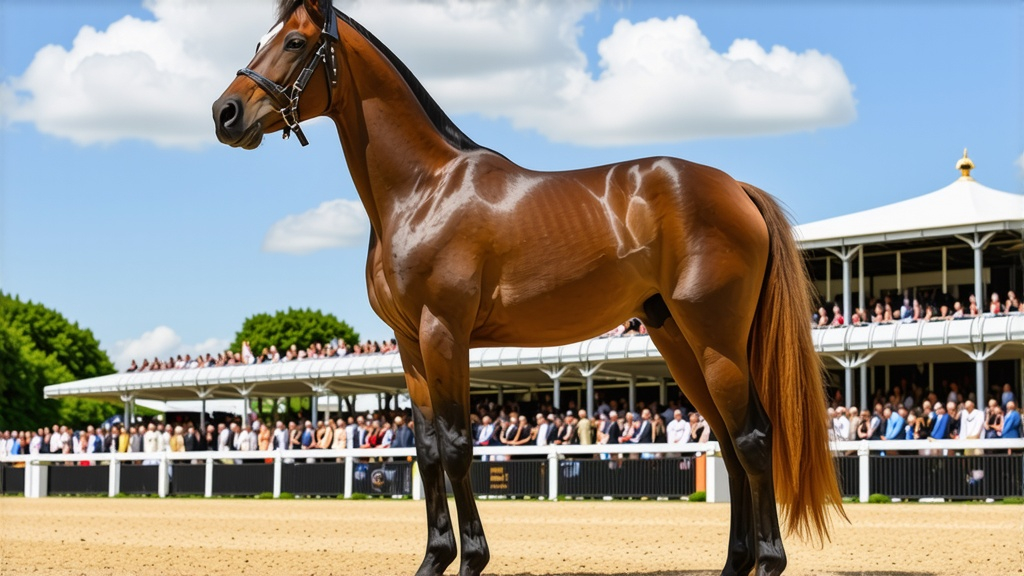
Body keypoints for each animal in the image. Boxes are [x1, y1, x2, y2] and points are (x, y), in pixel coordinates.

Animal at [211, 2, 843, 569]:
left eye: (294, 41)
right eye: (260, 38)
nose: (225, 113)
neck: (423, 190)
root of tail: (735, 188)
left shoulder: (445, 334)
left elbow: (457, 446)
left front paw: (471, 558)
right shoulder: (410, 346)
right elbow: (426, 450)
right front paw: (434, 558)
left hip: (717, 339)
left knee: (754, 438)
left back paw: (769, 559)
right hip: (679, 340)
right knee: (729, 445)